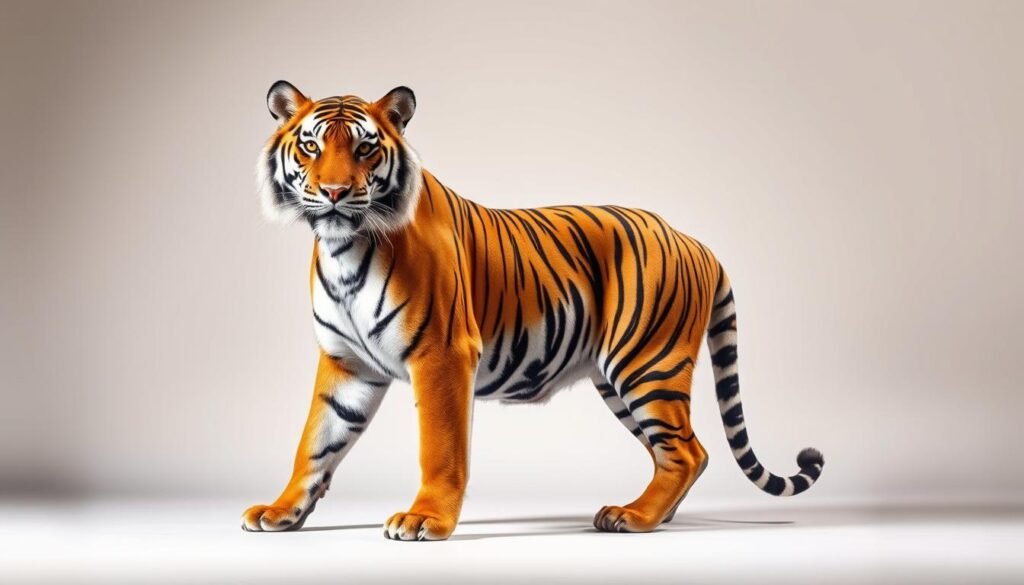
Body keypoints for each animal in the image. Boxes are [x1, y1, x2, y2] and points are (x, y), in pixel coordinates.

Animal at [241, 81, 825, 541]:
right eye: (311, 146)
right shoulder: (347, 364)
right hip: (619, 380)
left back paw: (633, 518)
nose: (335, 192)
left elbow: (440, 446)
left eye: (365, 149)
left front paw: (426, 519)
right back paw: (651, 516)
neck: (344, 248)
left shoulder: (442, 354)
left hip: (646, 363)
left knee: (684, 451)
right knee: (683, 452)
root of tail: (693, 239)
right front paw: (281, 511)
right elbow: (315, 441)